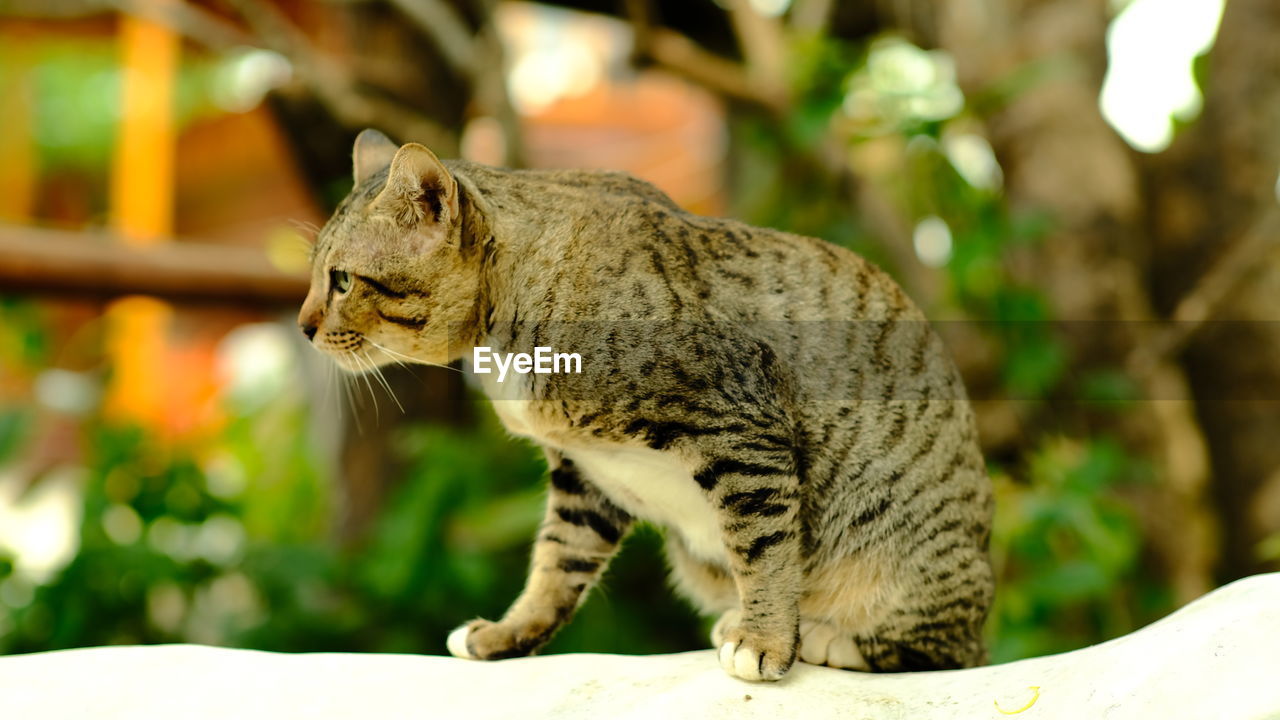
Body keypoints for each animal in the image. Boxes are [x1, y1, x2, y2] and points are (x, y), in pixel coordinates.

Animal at [296, 127, 988, 676]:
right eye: (316, 276)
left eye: (342, 280)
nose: (302, 326)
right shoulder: (583, 475)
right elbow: (555, 563)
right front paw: (508, 634)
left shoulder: (740, 426)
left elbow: (764, 549)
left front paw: (765, 639)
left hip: (908, 555)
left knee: (943, 648)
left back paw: (819, 635)